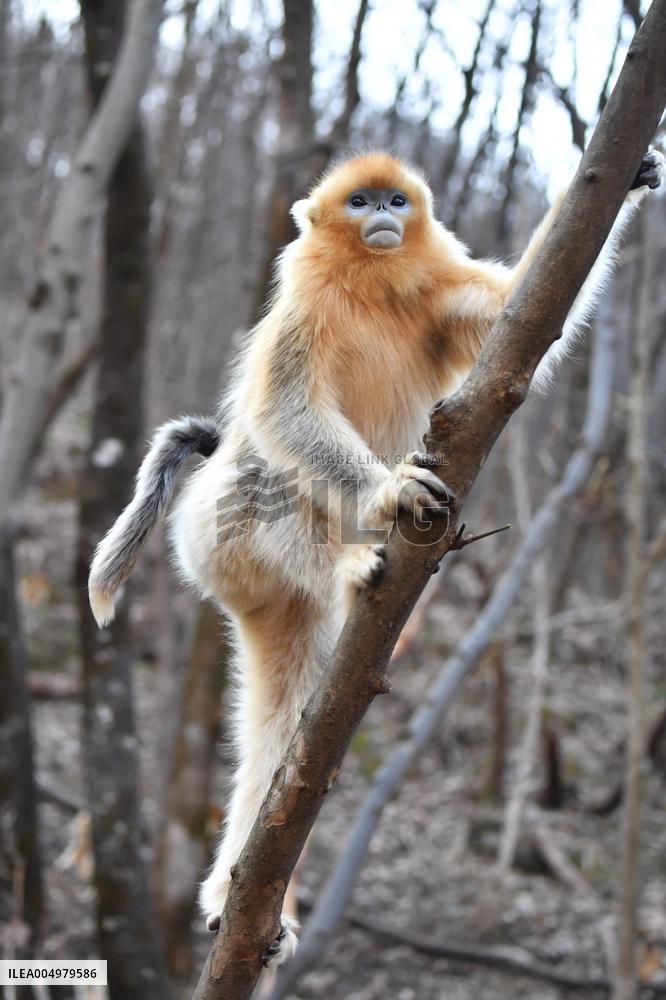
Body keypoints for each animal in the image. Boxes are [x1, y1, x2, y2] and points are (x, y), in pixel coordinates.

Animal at [88, 147, 663, 965]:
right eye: (359, 202)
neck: (370, 283)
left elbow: (520, 309)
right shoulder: (300, 315)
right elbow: (287, 410)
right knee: (270, 474)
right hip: (214, 534)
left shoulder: (446, 300)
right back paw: (354, 572)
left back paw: (241, 895)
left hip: (264, 598)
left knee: (287, 732)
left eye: (395, 199)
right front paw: (391, 490)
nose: (383, 217)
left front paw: (630, 178)